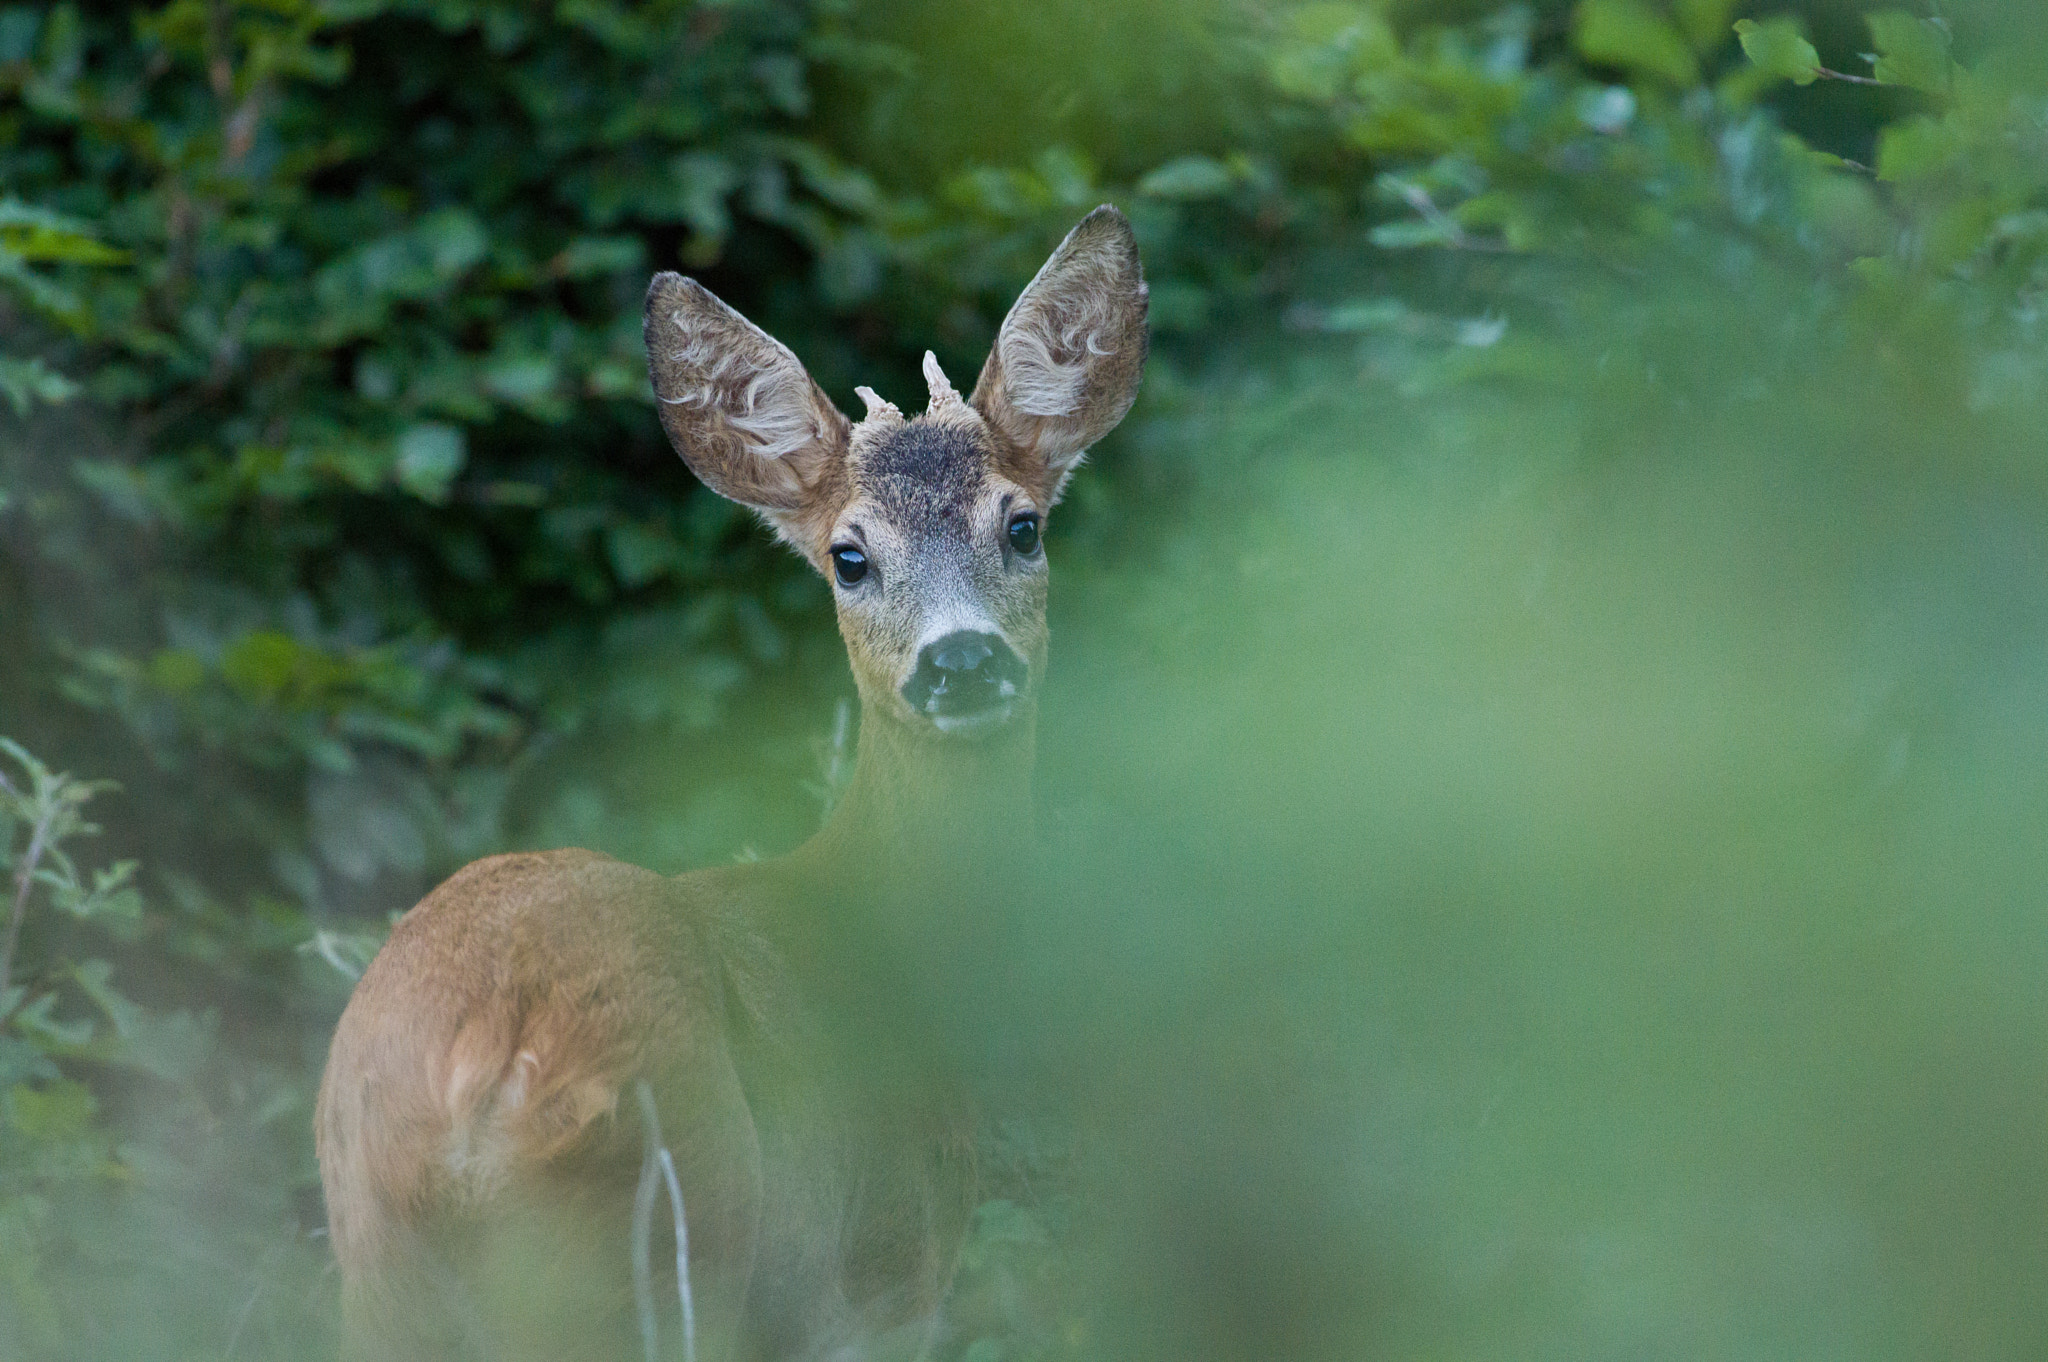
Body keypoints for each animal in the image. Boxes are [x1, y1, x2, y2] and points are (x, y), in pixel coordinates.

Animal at [319, 204, 1155, 1359]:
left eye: (1021, 525)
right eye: (849, 557)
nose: (961, 660)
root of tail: (480, 1076)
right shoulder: (884, 1287)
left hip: (377, 1265)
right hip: (673, 1239)